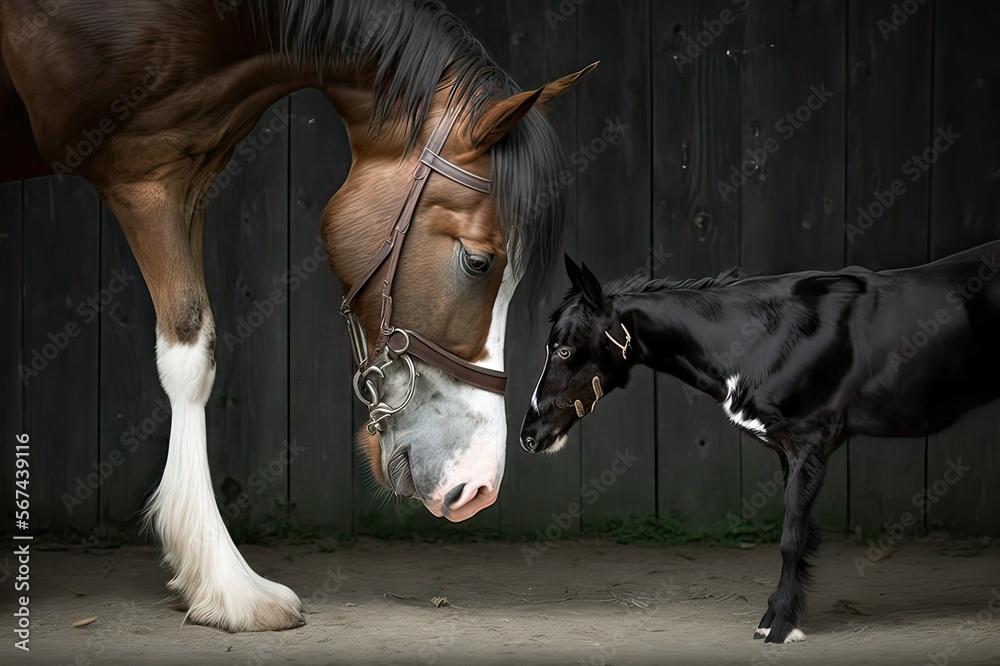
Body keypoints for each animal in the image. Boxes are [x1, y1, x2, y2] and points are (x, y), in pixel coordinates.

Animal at [1, 0, 594, 631]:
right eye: (478, 262)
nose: (479, 485)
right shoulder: (142, 170)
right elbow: (189, 355)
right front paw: (228, 587)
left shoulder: (188, 173)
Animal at [520, 247, 1000, 644]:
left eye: (564, 350)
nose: (529, 434)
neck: (766, 333)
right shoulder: (788, 451)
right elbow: (801, 536)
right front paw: (776, 616)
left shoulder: (810, 442)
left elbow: (790, 538)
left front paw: (782, 626)